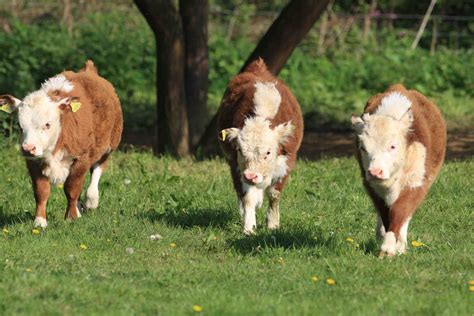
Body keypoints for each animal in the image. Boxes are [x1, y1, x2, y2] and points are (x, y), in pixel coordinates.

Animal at [0, 59, 122, 227]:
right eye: (19, 125)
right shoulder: (33, 162)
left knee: (97, 170)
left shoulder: (82, 158)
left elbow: (72, 188)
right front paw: (40, 221)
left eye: (47, 124)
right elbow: (41, 191)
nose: (28, 148)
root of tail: (88, 70)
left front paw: (71, 217)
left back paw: (91, 200)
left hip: (108, 145)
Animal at [218, 58, 304, 235]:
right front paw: (249, 227)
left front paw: (272, 224)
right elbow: (247, 198)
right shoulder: (237, 167)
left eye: (268, 152)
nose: (251, 176)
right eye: (240, 150)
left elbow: (274, 195)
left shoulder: (285, 164)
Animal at [352, 84, 444, 256]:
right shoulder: (371, 185)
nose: (375, 172)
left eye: (393, 146)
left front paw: (389, 247)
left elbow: (400, 210)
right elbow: (385, 212)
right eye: (363, 148)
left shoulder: (417, 182)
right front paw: (388, 242)